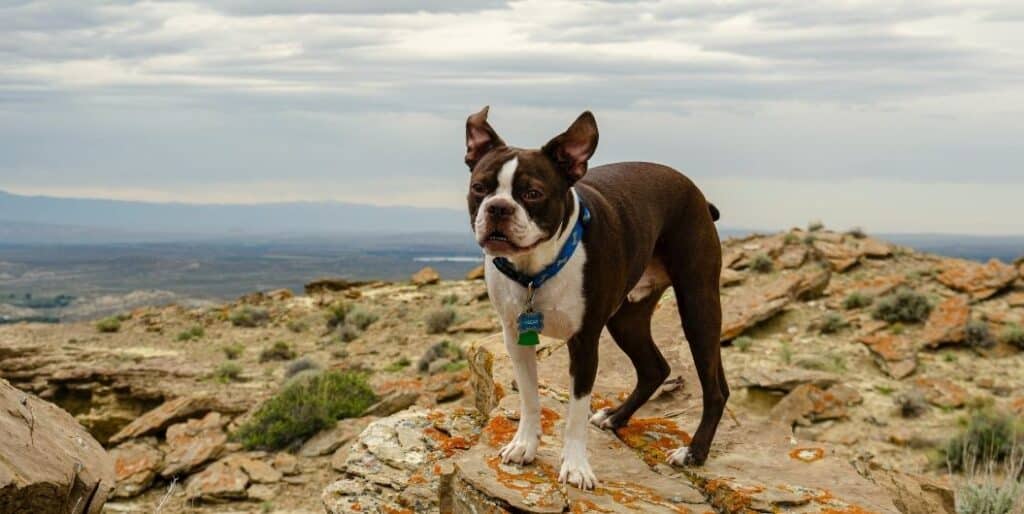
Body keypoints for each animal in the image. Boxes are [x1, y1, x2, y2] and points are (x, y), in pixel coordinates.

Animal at [464, 105, 729, 489]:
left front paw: (576, 467)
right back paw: (616, 418)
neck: (535, 271)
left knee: (715, 388)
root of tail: (696, 192)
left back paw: (693, 452)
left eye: (532, 193)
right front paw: (524, 445)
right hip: (627, 318)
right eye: (479, 188)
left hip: (697, 304)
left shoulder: (584, 342)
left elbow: (575, 412)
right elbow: (529, 398)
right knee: (655, 368)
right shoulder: (515, 337)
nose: (498, 207)